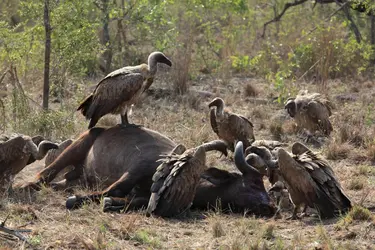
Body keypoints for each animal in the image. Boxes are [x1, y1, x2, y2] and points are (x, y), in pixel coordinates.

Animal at [22, 126, 276, 216]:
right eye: (254, 182)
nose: (271, 207)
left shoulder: (143, 196)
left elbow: (131, 200)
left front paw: (113, 204)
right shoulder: (133, 172)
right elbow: (110, 191)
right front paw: (77, 200)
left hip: (77, 173)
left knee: (65, 179)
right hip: (79, 144)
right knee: (48, 171)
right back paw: (26, 185)